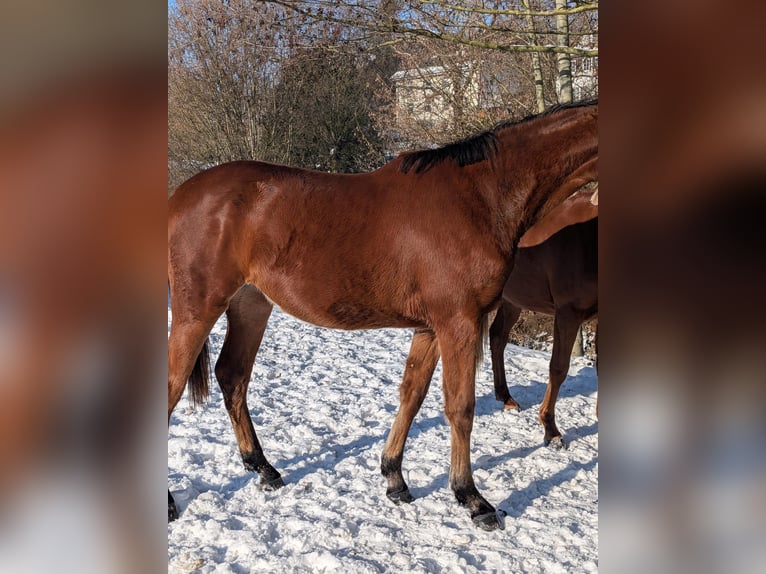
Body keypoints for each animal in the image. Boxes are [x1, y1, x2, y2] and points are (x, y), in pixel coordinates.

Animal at [167, 101, 598, 531]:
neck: (482, 198)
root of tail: (180, 195)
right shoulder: (459, 323)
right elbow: (460, 407)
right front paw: (472, 498)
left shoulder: (430, 328)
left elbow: (411, 395)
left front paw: (394, 479)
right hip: (197, 310)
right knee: (175, 386)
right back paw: (172, 502)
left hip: (251, 304)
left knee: (233, 377)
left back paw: (264, 469)